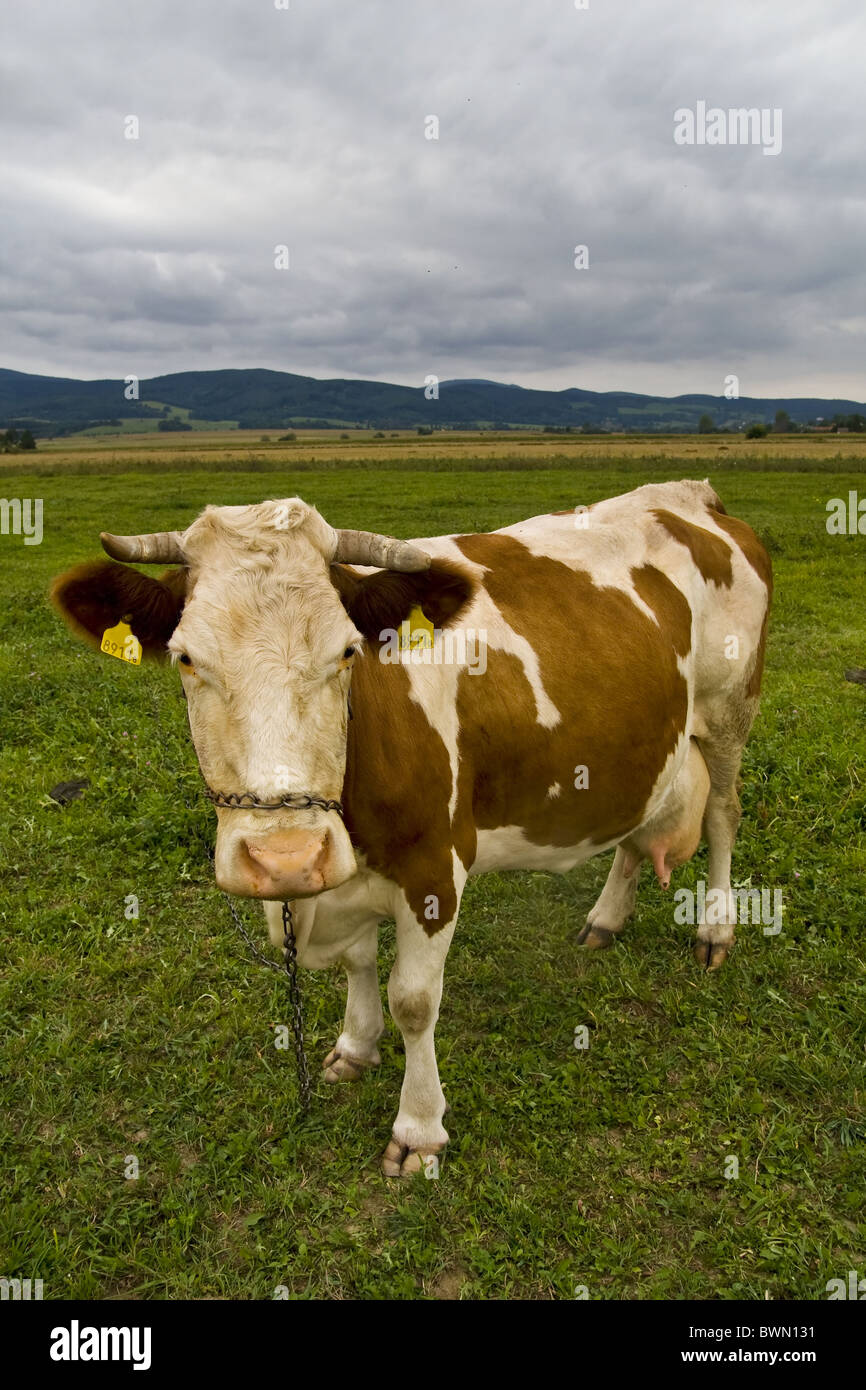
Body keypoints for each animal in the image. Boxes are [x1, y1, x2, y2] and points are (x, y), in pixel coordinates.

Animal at [52, 479, 772, 1175]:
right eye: (185, 658)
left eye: (347, 651)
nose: (287, 858)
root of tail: (690, 495)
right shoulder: (345, 874)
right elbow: (358, 961)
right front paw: (355, 1045)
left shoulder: (435, 865)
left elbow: (415, 1000)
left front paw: (419, 1128)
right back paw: (607, 918)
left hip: (730, 712)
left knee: (723, 813)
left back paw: (715, 928)